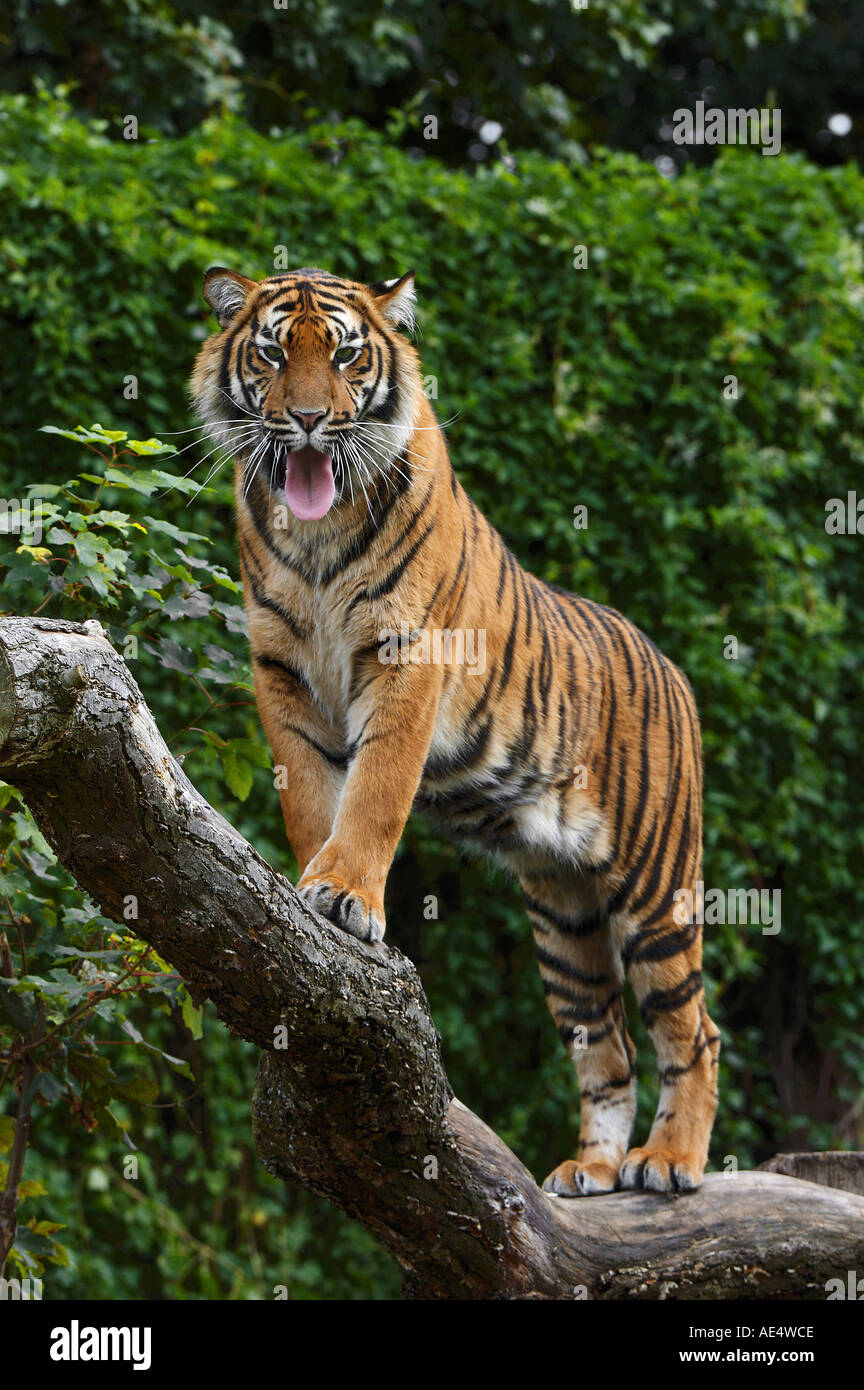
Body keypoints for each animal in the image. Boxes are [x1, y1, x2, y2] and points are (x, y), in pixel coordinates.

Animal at [193, 262, 722, 1195]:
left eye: (344, 355)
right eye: (272, 354)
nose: (307, 418)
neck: (315, 535)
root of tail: (671, 666)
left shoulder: (407, 660)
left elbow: (373, 792)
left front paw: (344, 896)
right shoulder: (283, 676)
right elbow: (312, 799)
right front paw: (310, 892)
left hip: (654, 889)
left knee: (692, 1031)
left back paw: (670, 1161)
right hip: (564, 920)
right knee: (608, 1046)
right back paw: (590, 1169)